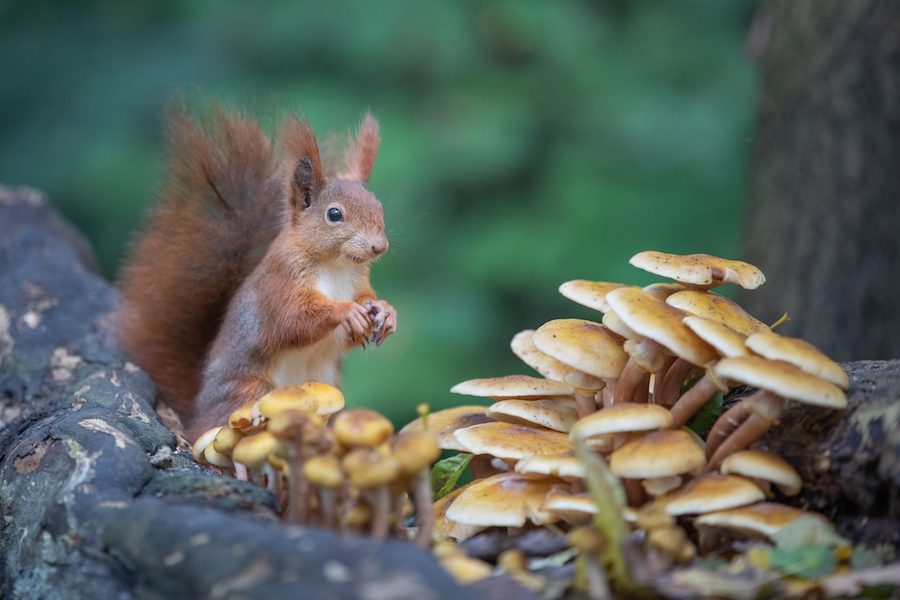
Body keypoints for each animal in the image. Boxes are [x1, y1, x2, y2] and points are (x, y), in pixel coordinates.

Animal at [116, 105, 394, 438]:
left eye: (379, 207)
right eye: (335, 214)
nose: (380, 246)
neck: (335, 266)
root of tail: (197, 415)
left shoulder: (359, 281)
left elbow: (362, 306)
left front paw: (384, 311)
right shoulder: (280, 282)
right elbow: (294, 319)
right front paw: (347, 311)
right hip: (250, 392)